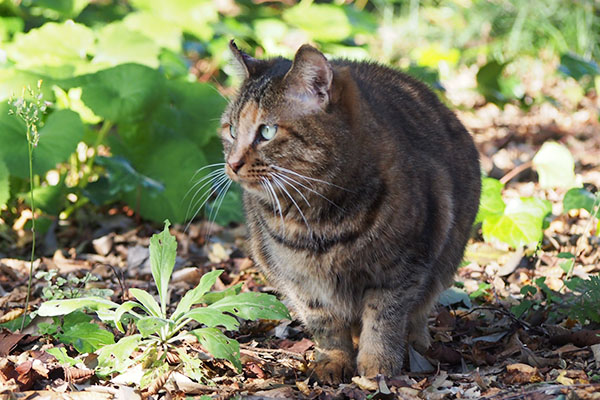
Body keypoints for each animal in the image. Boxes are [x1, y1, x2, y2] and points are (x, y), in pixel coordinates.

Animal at [218, 41, 480, 384]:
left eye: (268, 131)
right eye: (232, 130)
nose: (232, 163)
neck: (318, 221)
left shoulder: (402, 269)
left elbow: (384, 319)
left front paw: (377, 364)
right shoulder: (301, 282)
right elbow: (326, 326)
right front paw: (333, 361)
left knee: (418, 312)